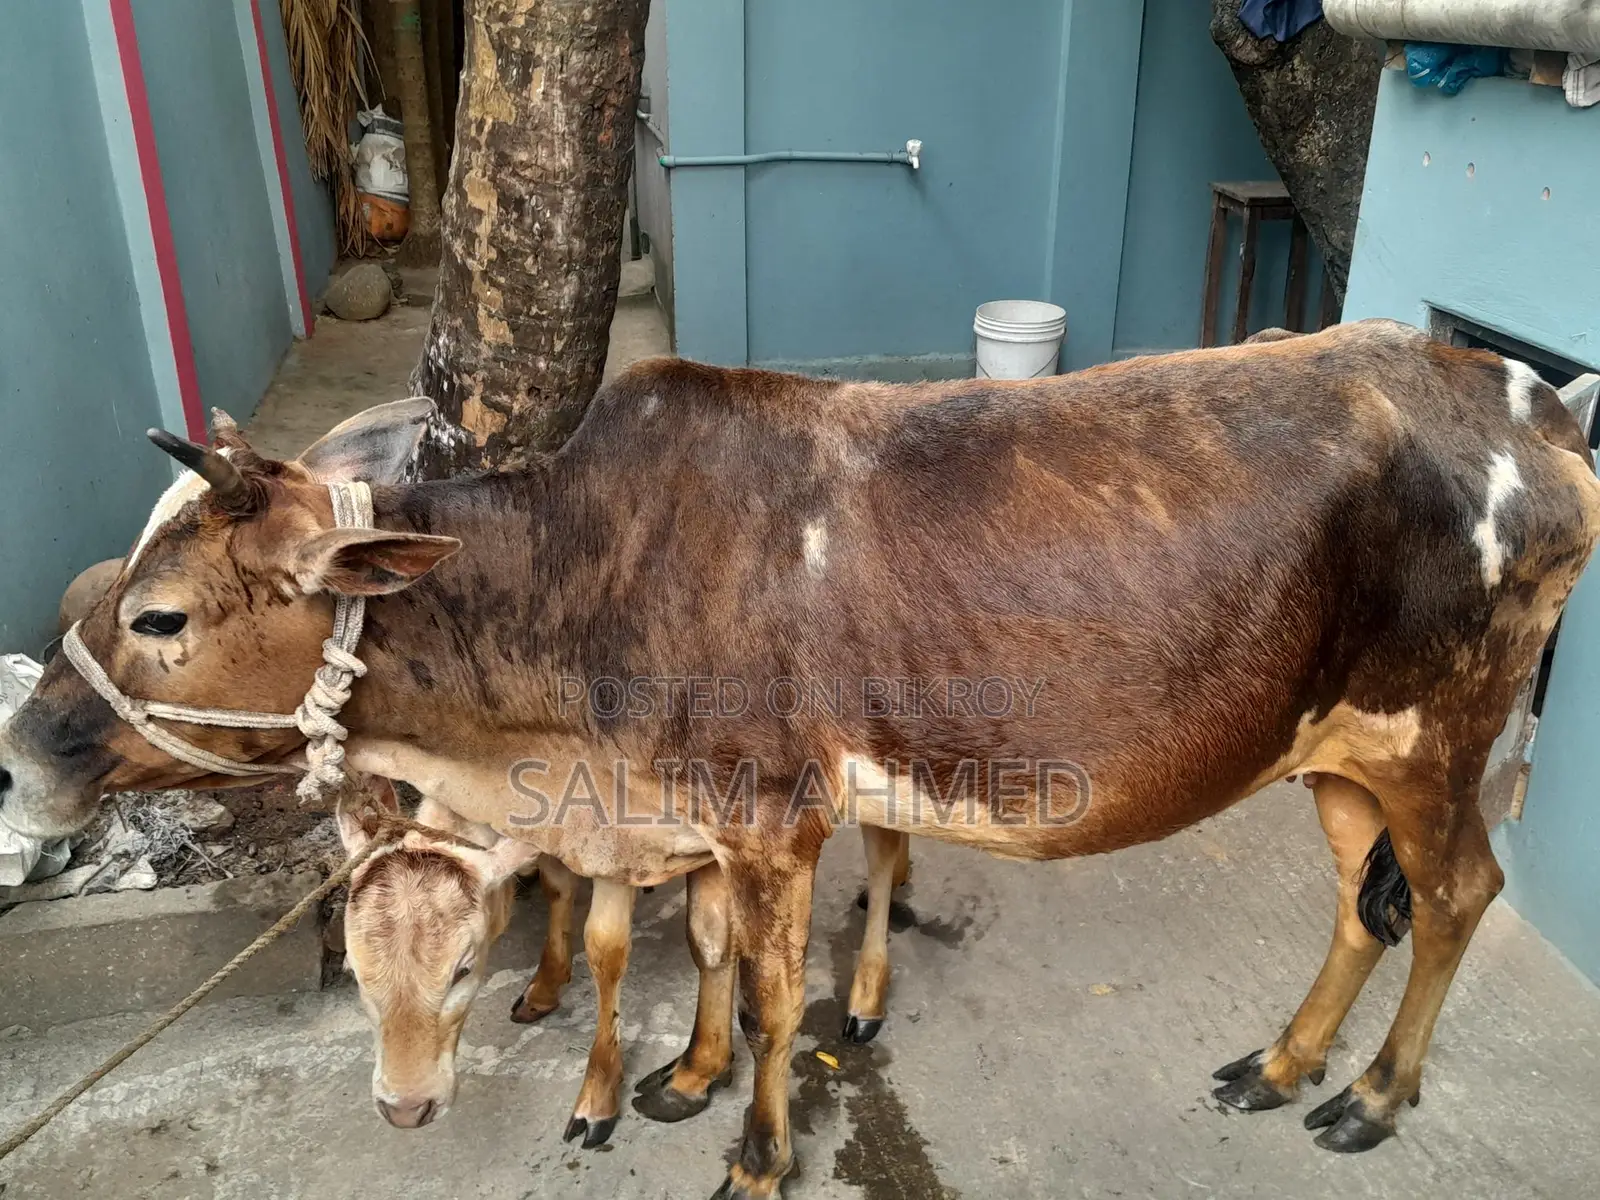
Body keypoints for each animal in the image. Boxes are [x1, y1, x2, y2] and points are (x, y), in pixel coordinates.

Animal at [3, 320, 1597, 1199]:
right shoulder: (691, 828)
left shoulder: (769, 819)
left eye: (160, 613)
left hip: (1438, 739)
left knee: (1452, 896)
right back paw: (1278, 1062)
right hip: (1332, 752)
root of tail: (1525, 401)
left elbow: (776, 1005)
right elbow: (706, 960)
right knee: (1357, 903)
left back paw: (1370, 1099)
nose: (20, 754)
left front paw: (752, 1153)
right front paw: (681, 1080)